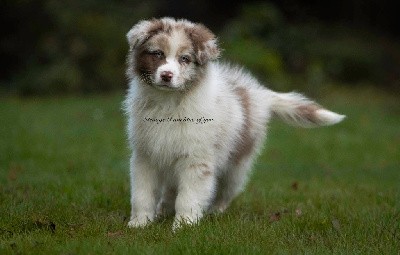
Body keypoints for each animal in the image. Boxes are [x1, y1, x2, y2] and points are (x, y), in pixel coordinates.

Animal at [124, 16, 344, 230]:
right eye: (157, 54)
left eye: (184, 59)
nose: (166, 75)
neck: (169, 102)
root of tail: (259, 94)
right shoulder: (145, 156)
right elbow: (142, 194)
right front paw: (139, 224)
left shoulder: (197, 158)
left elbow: (189, 196)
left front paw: (184, 226)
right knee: (171, 189)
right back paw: (164, 210)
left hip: (237, 164)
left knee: (226, 191)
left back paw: (215, 212)